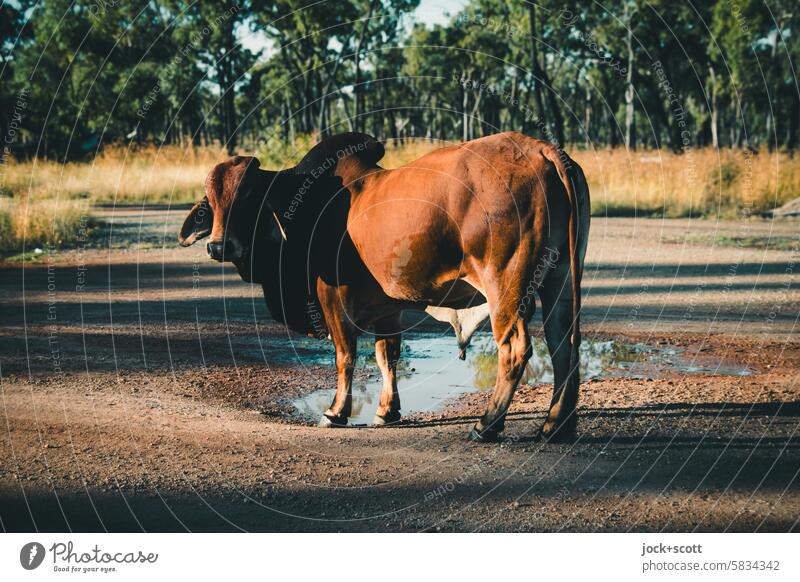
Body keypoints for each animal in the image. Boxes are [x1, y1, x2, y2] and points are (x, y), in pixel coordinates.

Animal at [183, 132, 592, 442]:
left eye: (250, 196)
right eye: (212, 202)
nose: (218, 246)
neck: (309, 206)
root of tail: (543, 150)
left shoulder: (332, 299)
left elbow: (345, 357)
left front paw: (336, 412)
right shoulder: (388, 308)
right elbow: (387, 356)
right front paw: (387, 410)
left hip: (505, 283)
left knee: (516, 349)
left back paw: (486, 424)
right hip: (560, 279)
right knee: (564, 344)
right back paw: (556, 425)